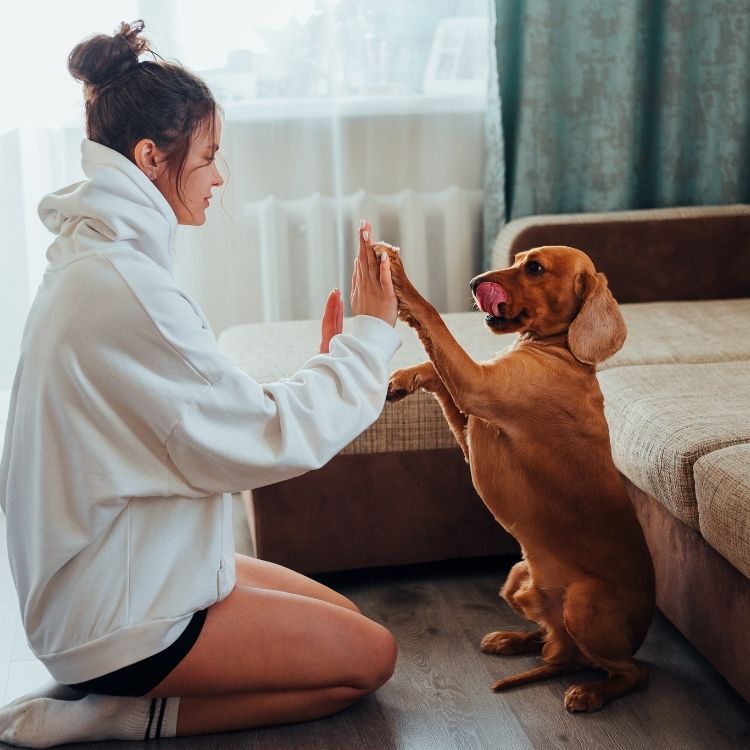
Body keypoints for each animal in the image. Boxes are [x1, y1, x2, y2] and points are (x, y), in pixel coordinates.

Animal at [384, 244, 656, 712]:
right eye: (516, 259)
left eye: (534, 268)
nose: (475, 283)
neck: (560, 351)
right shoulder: (470, 420)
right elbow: (436, 369)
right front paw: (404, 379)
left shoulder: (477, 386)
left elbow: (433, 319)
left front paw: (400, 280)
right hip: (517, 576)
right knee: (553, 641)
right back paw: (514, 640)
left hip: (583, 601)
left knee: (630, 673)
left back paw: (591, 693)